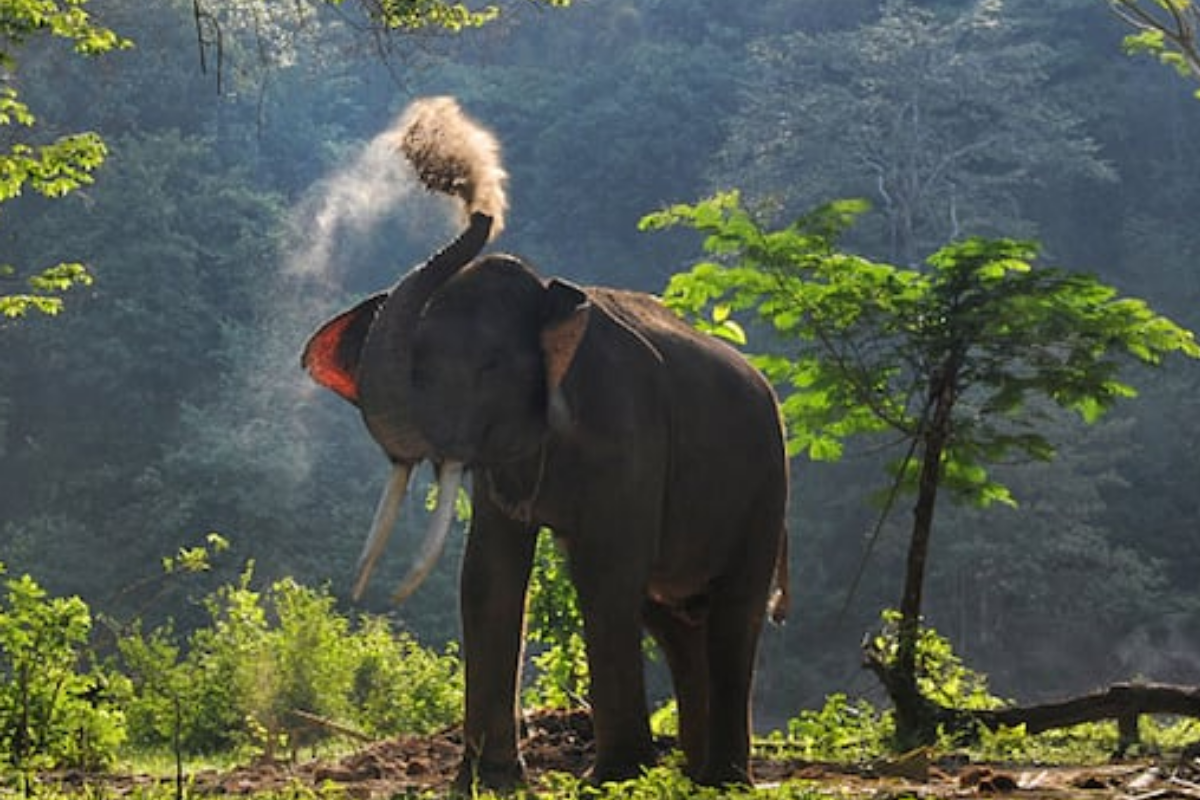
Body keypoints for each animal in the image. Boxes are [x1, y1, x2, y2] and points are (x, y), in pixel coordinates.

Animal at [301, 97, 789, 790]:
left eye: (485, 368)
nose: (440, 157)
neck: (552, 300)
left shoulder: (628, 426)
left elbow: (605, 573)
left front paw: (615, 779)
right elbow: (488, 576)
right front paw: (489, 783)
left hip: (767, 482)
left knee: (731, 609)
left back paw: (721, 779)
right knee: (672, 617)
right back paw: (693, 775)